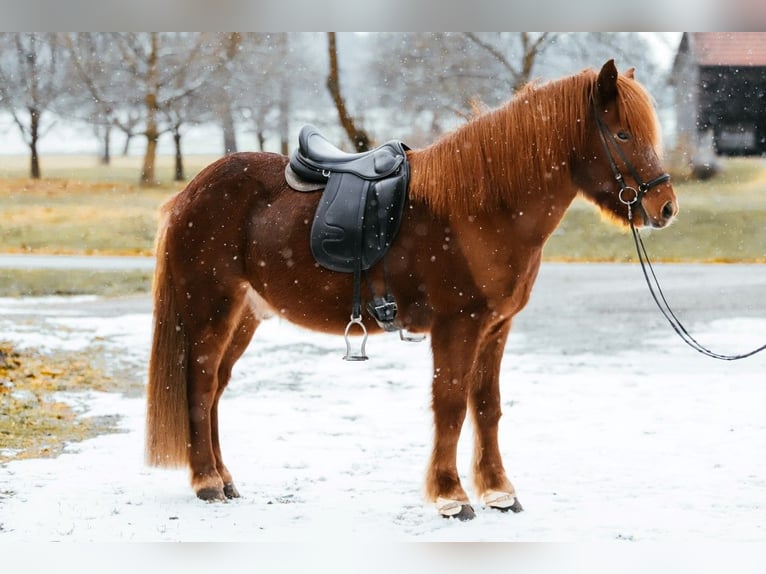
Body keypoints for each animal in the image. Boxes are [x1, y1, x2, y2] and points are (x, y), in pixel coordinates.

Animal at [145, 60, 678, 520]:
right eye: (623, 134)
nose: (666, 207)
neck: (484, 207)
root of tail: (190, 193)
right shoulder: (457, 328)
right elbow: (450, 405)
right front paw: (451, 497)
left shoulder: (496, 329)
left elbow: (486, 407)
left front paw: (499, 492)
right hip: (212, 311)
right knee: (201, 385)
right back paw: (207, 482)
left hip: (244, 315)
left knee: (216, 388)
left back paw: (224, 478)